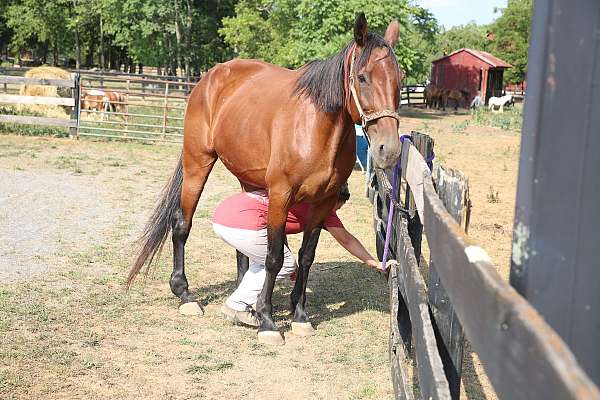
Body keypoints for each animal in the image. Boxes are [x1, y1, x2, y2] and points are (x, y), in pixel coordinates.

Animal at [126, 12, 404, 344]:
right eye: (362, 77)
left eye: (400, 80)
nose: (389, 149)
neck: (316, 128)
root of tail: (210, 78)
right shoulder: (281, 195)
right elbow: (273, 257)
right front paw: (268, 320)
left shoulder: (322, 203)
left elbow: (306, 256)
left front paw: (298, 315)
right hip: (197, 164)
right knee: (181, 225)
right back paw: (185, 294)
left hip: (248, 179)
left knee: (242, 250)